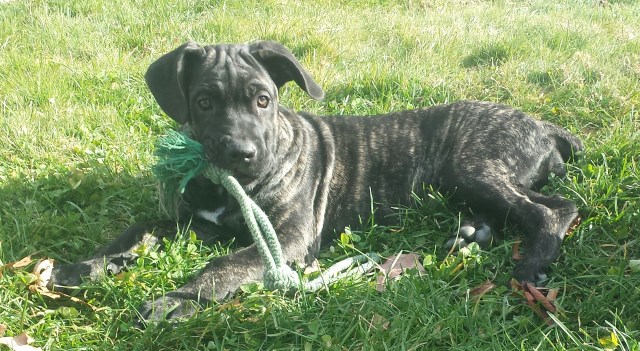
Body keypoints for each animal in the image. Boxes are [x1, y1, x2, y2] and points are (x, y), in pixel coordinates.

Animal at [47, 40, 584, 322]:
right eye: (203, 102)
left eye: (263, 99)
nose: (241, 154)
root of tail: (545, 125)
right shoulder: (191, 222)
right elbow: (136, 229)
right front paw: (85, 266)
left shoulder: (287, 238)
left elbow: (223, 266)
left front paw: (173, 301)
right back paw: (473, 233)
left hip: (473, 168)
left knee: (555, 208)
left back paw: (531, 266)